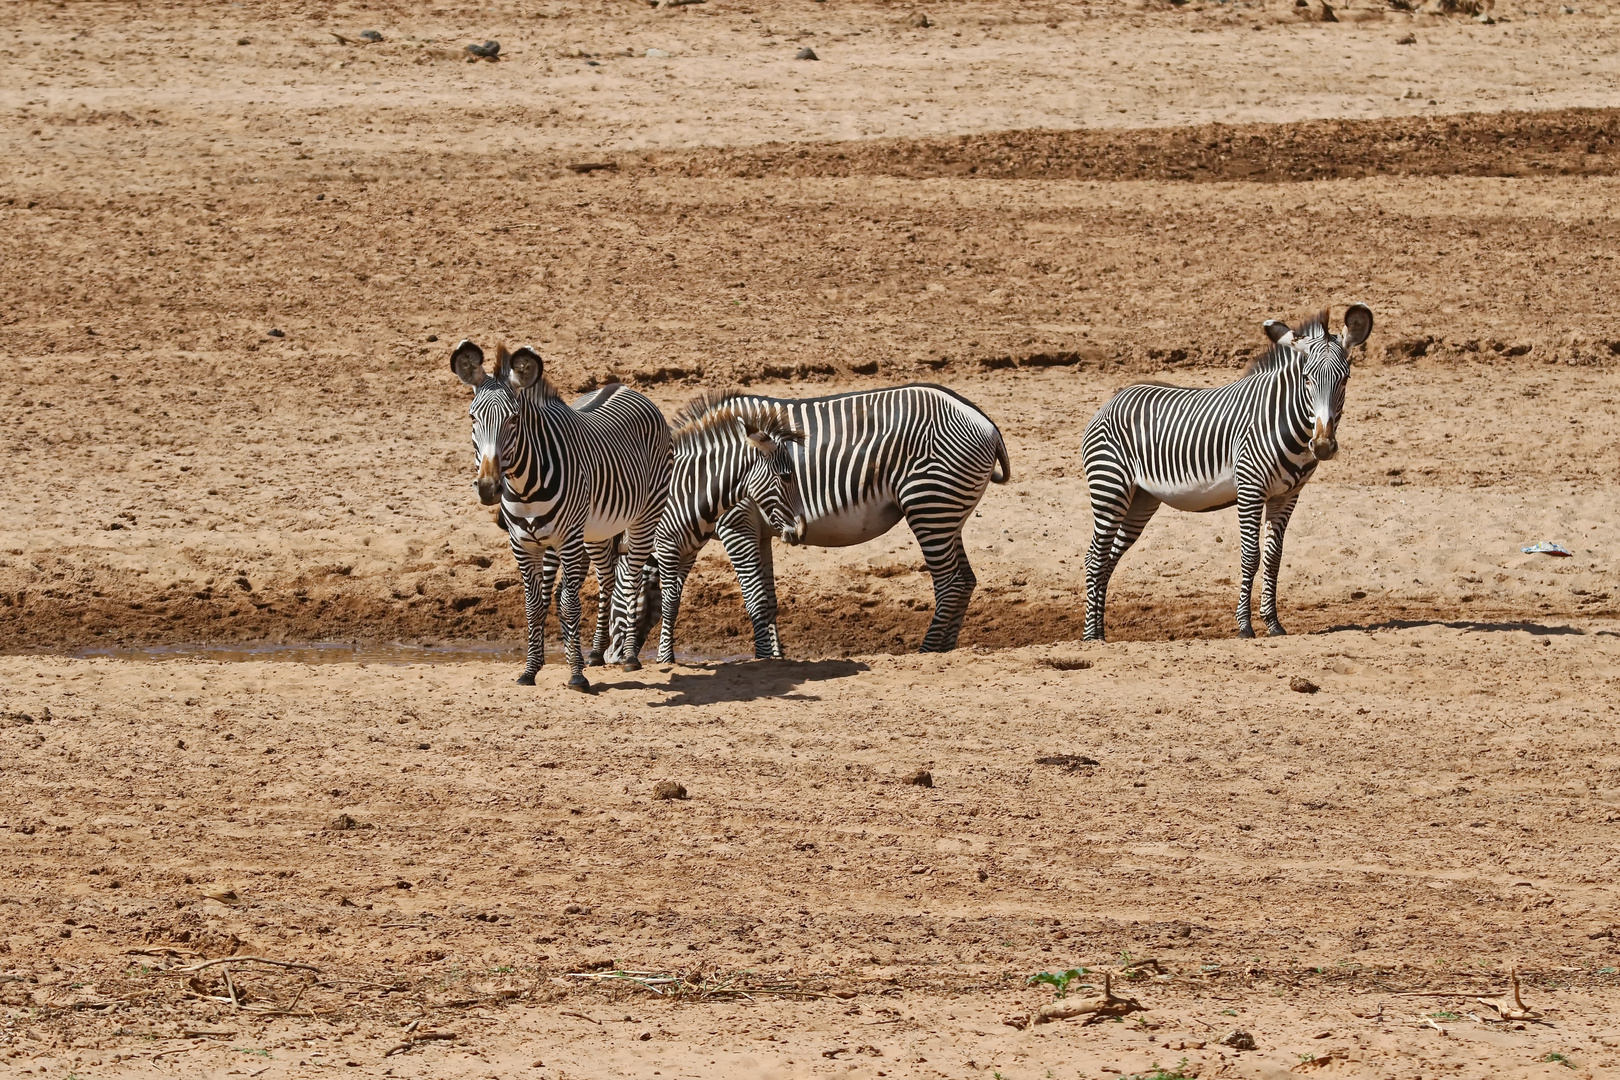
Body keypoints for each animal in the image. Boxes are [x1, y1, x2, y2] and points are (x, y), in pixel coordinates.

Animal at [450, 341, 670, 689]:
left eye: (514, 419)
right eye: (473, 417)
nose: (488, 488)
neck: (525, 487)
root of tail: (624, 386)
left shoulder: (567, 541)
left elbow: (568, 603)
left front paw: (576, 674)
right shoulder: (523, 544)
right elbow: (533, 605)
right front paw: (530, 670)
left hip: (645, 516)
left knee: (632, 579)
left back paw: (629, 657)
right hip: (596, 530)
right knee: (607, 578)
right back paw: (596, 652)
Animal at [648, 388, 1010, 660]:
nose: (630, 655)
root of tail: (986, 422)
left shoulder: (737, 524)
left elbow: (754, 598)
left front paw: (763, 659)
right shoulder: (762, 531)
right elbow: (768, 600)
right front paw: (776, 658)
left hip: (929, 505)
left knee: (950, 583)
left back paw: (926, 651)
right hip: (949, 514)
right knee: (965, 580)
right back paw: (947, 650)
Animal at [1082, 304, 1373, 641]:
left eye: (1345, 379)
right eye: (1306, 379)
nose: (1323, 446)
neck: (1289, 423)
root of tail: (1112, 400)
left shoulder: (1287, 496)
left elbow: (1273, 558)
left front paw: (1273, 624)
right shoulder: (1250, 489)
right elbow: (1251, 556)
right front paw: (1245, 625)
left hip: (1141, 499)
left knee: (1108, 558)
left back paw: (1100, 632)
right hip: (1110, 487)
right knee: (1095, 557)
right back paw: (1090, 636)